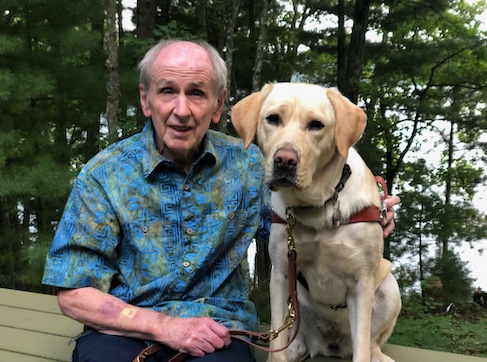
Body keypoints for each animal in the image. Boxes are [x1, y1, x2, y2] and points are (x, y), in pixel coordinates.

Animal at [231, 83, 402, 360]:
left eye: (316, 125)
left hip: (389, 286)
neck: (317, 207)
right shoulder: (280, 274)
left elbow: (362, 349)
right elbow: (276, 346)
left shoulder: (361, 281)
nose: (284, 160)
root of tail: (332, 344)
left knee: (370, 343)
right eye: (273, 118)